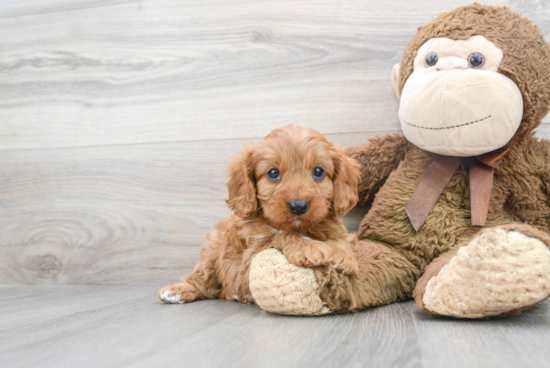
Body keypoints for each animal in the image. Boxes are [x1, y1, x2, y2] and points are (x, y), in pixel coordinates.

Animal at [158, 125, 362, 304]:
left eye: (318, 171)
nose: (298, 206)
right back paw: (179, 290)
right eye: (273, 173)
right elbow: (280, 236)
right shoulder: (251, 253)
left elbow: (341, 239)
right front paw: (308, 247)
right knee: (202, 279)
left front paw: (342, 255)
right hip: (211, 250)